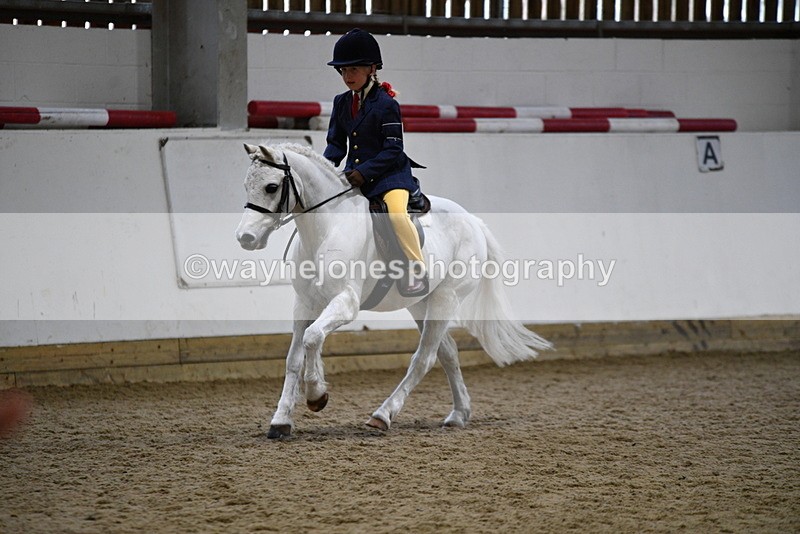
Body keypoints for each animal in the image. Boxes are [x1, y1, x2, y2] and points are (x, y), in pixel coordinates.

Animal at [235, 142, 552, 439]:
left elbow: (312, 338)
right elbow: (294, 357)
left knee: (424, 358)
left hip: (446, 298)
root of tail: (473, 221)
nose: (245, 238)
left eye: (271, 186)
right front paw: (281, 420)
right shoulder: (304, 304)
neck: (327, 228)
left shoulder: (346, 303)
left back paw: (383, 415)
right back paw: (459, 413)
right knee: (447, 352)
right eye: (246, 186)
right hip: (421, 303)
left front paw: (317, 395)